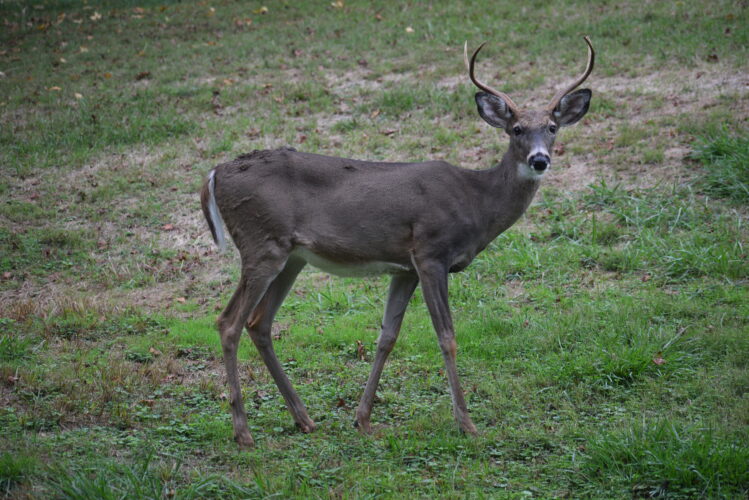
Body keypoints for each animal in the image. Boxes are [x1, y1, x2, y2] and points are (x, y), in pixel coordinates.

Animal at [200, 37, 594, 447]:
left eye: (552, 127)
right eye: (516, 129)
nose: (539, 160)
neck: (476, 201)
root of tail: (214, 173)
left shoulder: (404, 268)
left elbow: (387, 336)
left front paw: (362, 419)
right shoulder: (431, 252)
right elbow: (447, 336)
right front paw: (466, 424)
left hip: (292, 256)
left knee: (259, 322)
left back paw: (304, 419)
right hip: (261, 243)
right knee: (228, 322)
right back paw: (243, 431)